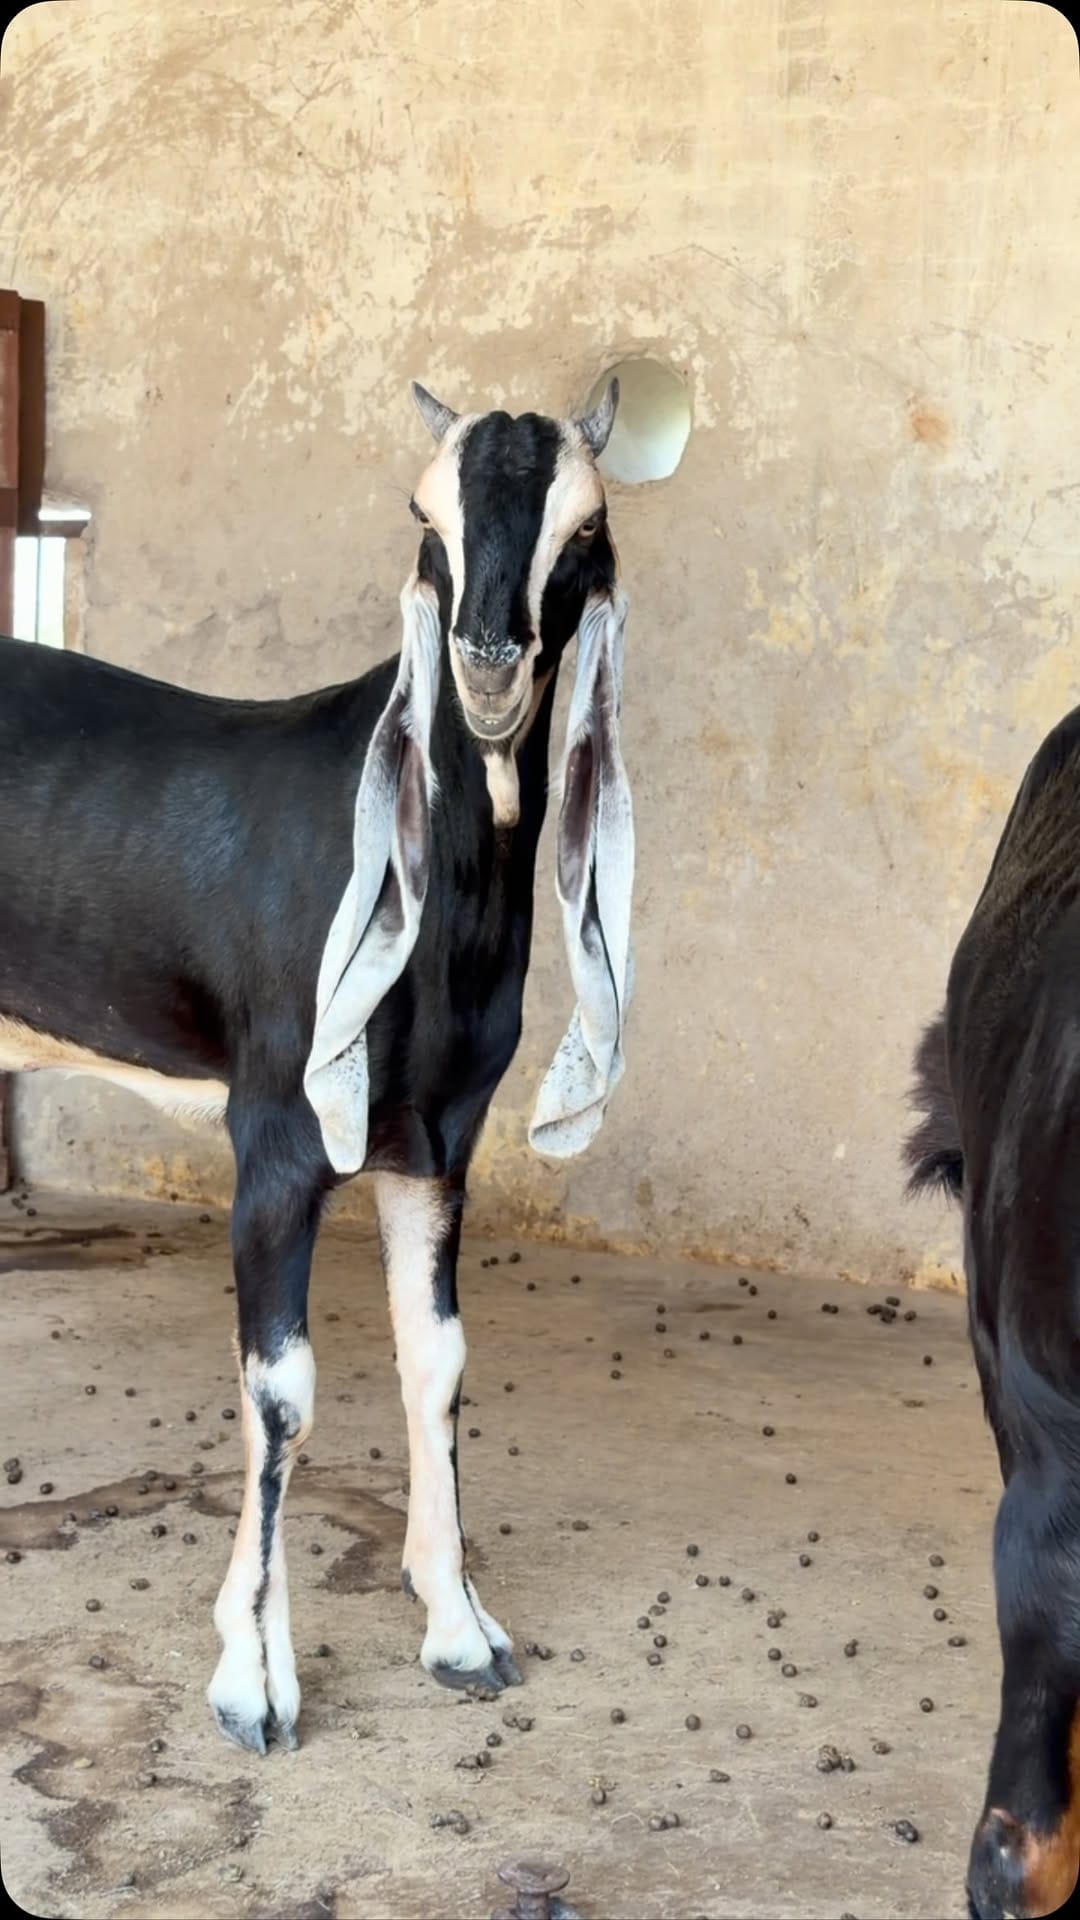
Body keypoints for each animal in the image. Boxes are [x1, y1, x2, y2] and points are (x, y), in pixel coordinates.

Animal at [0, 380, 635, 1754]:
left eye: (589, 524)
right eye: (422, 513)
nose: (487, 662)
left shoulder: (438, 1140)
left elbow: (437, 1362)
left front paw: (460, 1632)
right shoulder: (280, 1138)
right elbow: (282, 1389)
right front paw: (253, 1681)